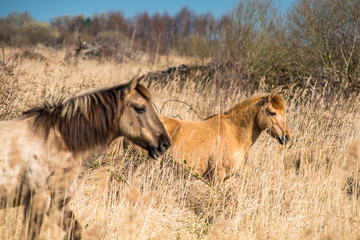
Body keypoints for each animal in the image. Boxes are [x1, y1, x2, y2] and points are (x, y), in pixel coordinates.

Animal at [0, 78, 170, 238]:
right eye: (140, 108)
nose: (165, 144)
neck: (57, 143)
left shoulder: (58, 204)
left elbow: (76, 231)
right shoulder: (37, 201)